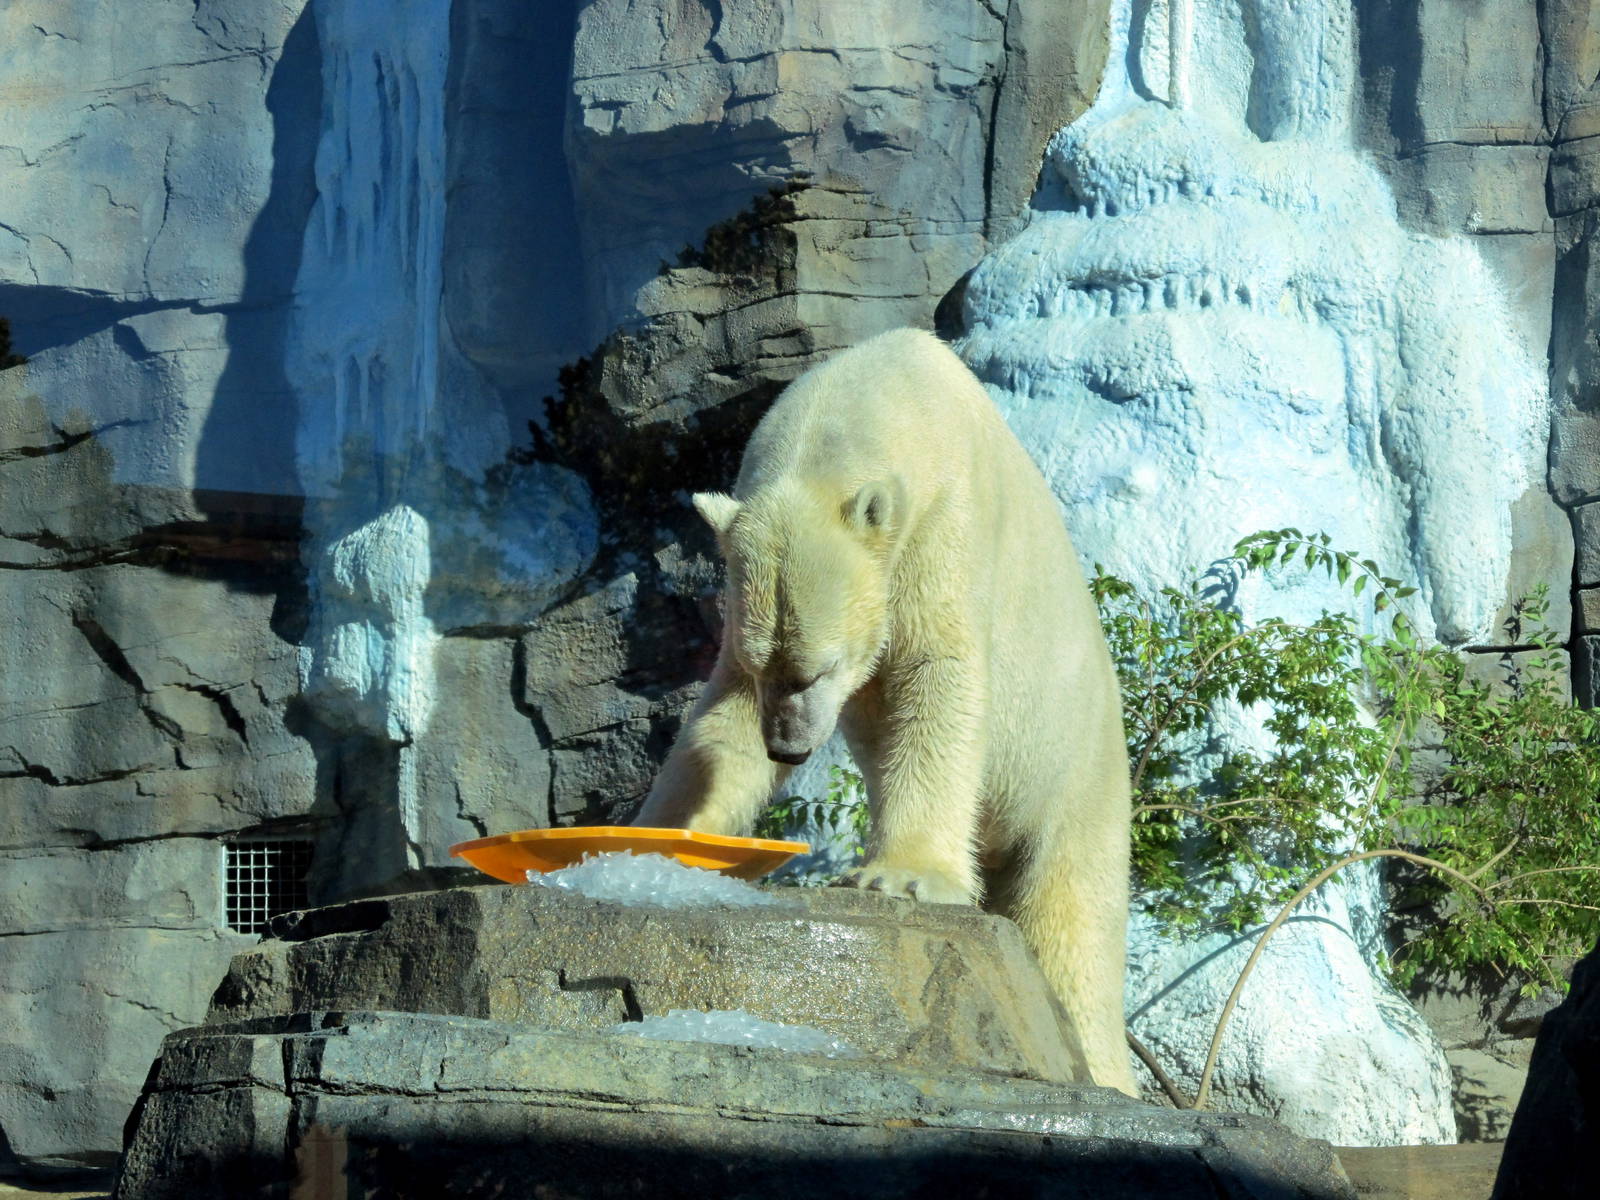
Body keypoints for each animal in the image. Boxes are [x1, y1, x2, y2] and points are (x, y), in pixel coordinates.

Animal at [633, 328, 1138, 1094]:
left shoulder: (944, 520)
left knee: (1072, 924)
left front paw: (903, 876)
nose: (788, 749)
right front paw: (654, 836)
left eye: (822, 668)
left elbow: (937, 675)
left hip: (1077, 775)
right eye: (768, 666)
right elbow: (722, 717)